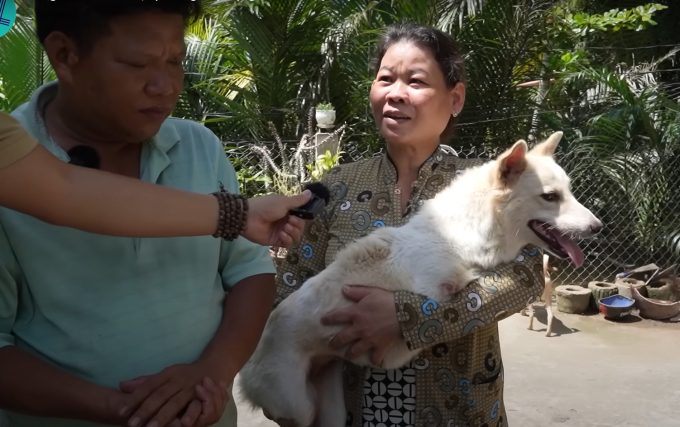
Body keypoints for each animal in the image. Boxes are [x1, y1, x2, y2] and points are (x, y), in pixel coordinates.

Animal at [238, 132, 600, 426]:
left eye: (569, 192)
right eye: (550, 197)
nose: (598, 227)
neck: (465, 234)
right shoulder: (435, 289)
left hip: (331, 408)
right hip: (298, 406)